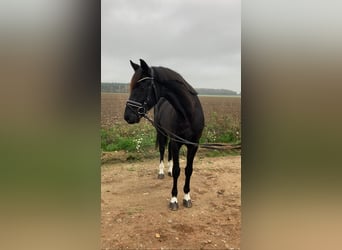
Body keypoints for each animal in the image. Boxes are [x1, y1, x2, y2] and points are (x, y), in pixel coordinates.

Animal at [124, 59, 204, 211]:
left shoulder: (193, 145)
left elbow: (188, 170)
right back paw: (161, 172)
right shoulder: (175, 142)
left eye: (142, 87)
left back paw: (169, 170)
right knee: (162, 151)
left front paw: (187, 197)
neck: (188, 113)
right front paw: (174, 199)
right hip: (162, 134)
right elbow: (178, 170)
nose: (128, 116)